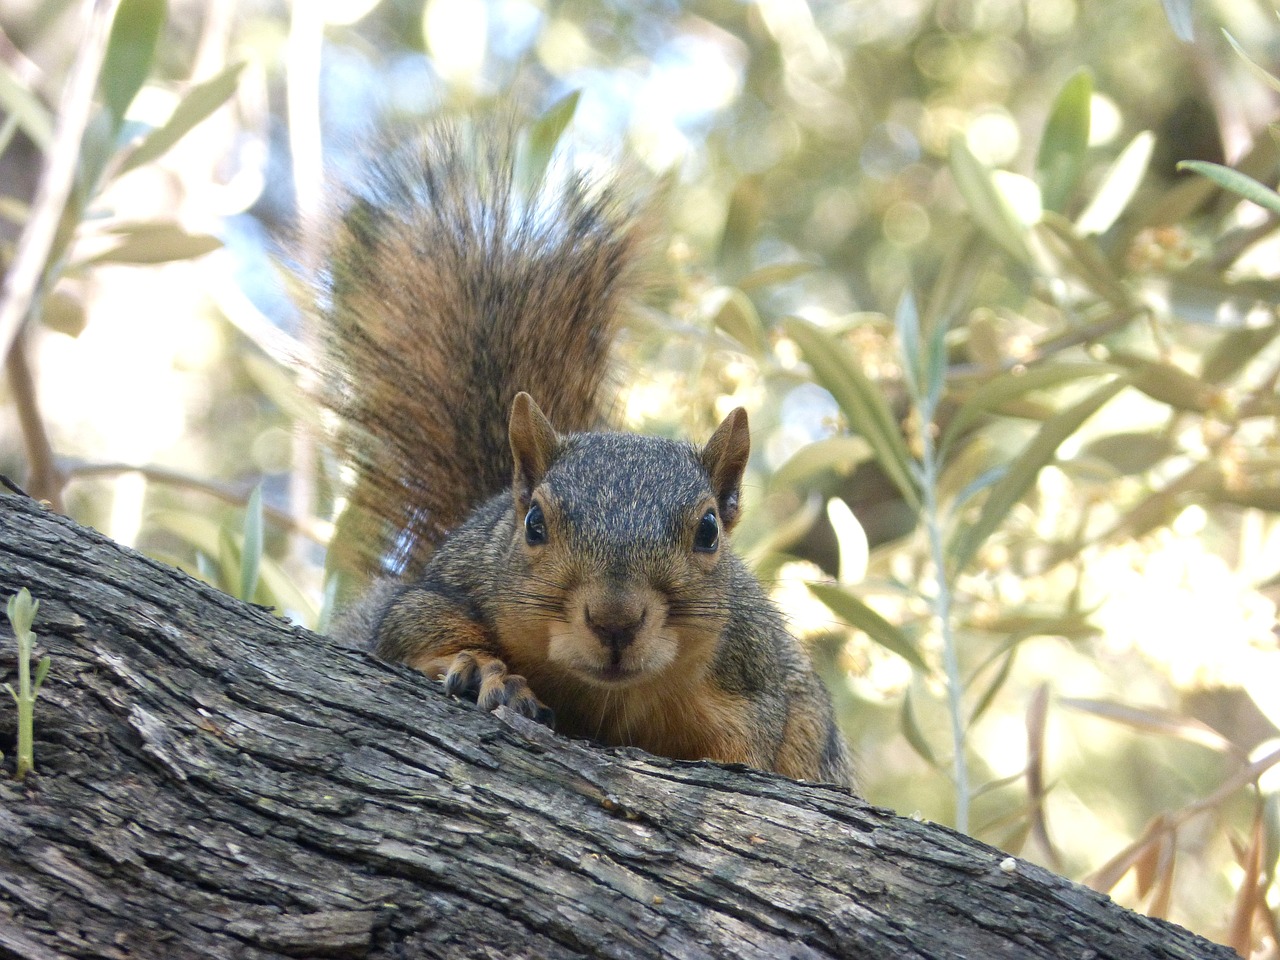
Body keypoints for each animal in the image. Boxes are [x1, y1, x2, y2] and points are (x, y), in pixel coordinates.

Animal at [311, 120, 855, 788]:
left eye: (708, 531)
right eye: (534, 524)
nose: (614, 620)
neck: (608, 699)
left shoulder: (755, 679)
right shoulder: (443, 589)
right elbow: (412, 625)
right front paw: (483, 669)